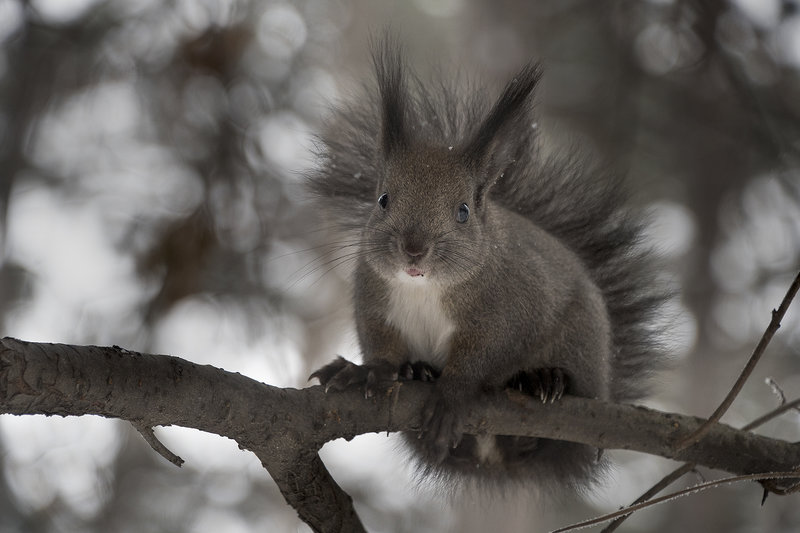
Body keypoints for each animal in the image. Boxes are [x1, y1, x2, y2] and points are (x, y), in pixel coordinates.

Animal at [307, 38, 665, 492]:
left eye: (462, 211)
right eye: (383, 200)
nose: (413, 249)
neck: (424, 288)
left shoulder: (507, 311)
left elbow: (482, 357)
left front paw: (451, 397)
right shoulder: (374, 301)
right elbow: (381, 346)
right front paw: (368, 372)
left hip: (581, 351)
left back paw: (543, 381)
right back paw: (419, 372)